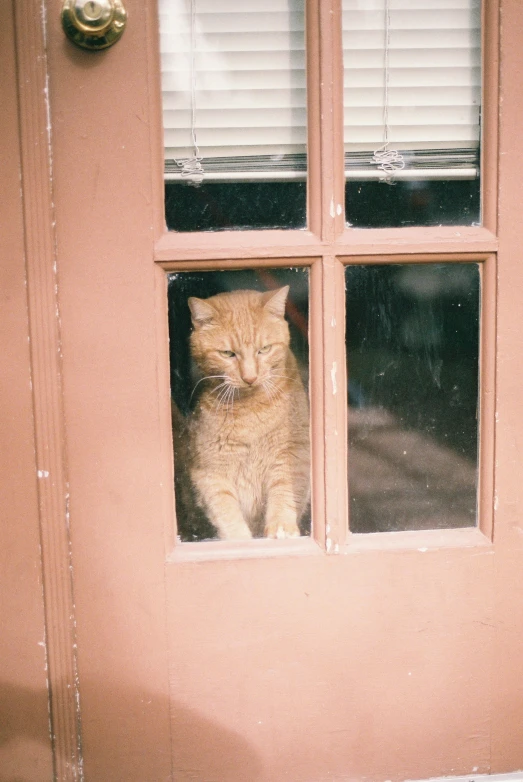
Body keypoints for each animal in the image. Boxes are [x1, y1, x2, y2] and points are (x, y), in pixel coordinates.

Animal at [184, 286, 310, 540]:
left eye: (264, 349)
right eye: (227, 353)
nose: (249, 377)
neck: (251, 408)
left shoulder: (292, 454)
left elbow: (283, 492)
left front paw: (281, 527)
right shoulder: (210, 472)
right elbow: (225, 511)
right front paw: (239, 540)